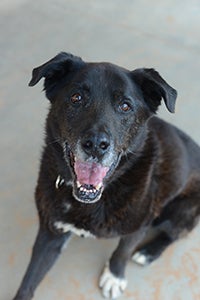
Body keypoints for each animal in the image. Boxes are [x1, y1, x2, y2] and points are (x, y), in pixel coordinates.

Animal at [12, 52, 200, 298]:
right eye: (76, 98)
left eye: (125, 106)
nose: (95, 145)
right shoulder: (50, 232)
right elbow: (29, 279)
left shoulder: (140, 225)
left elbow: (123, 251)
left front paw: (114, 276)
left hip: (183, 210)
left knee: (173, 235)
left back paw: (149, 252)